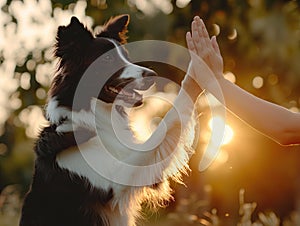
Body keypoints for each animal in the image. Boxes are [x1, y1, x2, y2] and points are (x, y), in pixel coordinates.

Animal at [20, 14, 199, 226]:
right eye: (106, 59)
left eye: (126, 56)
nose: (153, 76)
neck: (98, 122)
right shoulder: (115, 181)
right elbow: (164, 125)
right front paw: (197, 75)